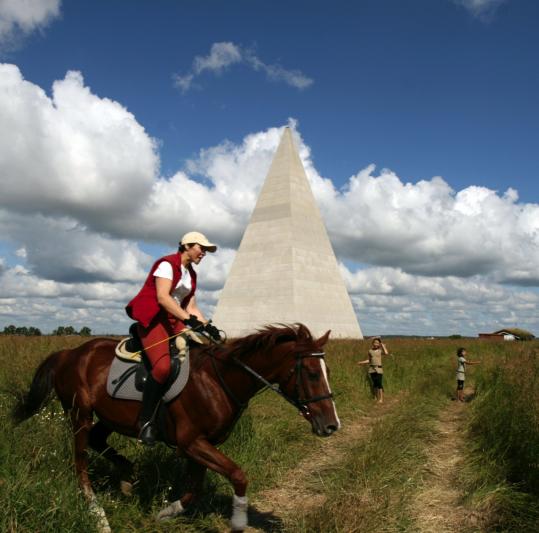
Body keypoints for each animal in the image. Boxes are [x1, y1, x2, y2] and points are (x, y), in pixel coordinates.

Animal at [11, 322, 342, 528]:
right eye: (312, 373)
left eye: (326, 370)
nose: (331, 426)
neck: (218, 379)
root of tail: (70, 353)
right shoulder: (191, 442)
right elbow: (237, 475)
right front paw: (237, 521)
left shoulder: (202, 444)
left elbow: (195, 488)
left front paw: (166, 512)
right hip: (79, 413)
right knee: (80, 460)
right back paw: (96, 511)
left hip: (108, 418)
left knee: (97, 441)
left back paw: (127, 477)